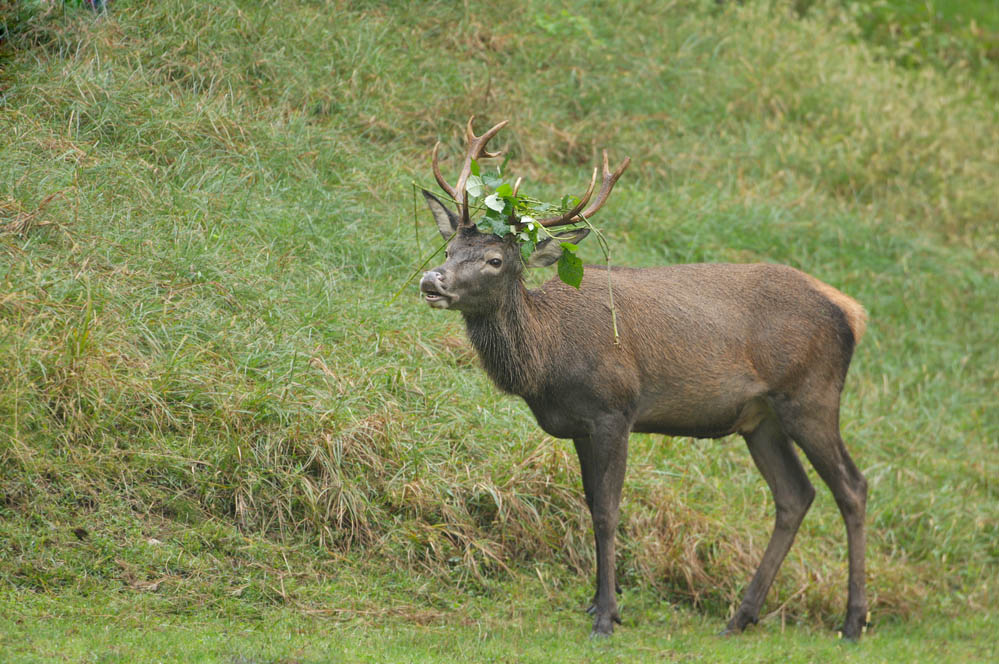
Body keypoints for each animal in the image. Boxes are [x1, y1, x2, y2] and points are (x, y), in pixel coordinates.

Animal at [418, 118, 870, 640]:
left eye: (495, 260)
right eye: (450, 247)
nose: (432, 280)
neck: (550, 361)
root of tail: (851, 313)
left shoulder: (616, 409)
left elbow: (608, 511)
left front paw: (608, 616)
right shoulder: (580, 426)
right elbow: (590, 502)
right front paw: (596, 603)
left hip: (811, 395)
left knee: (852, 487)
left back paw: (853, 621)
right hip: (762, 420)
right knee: (795, 495)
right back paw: (741, 615)